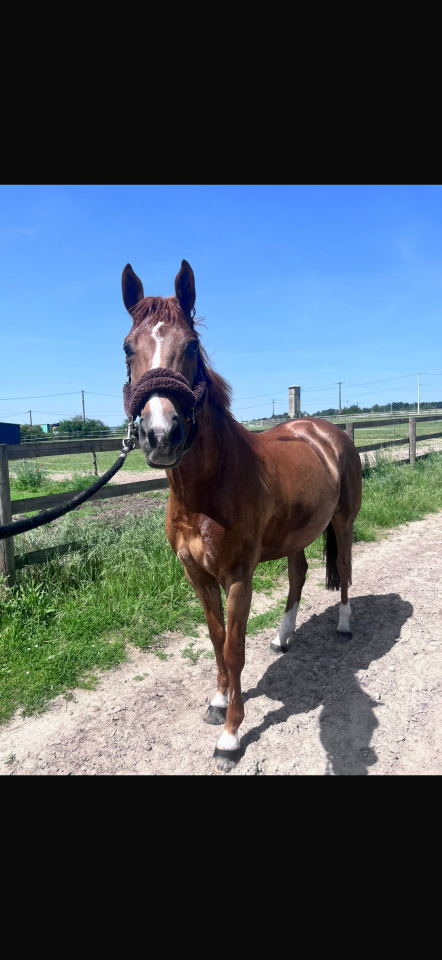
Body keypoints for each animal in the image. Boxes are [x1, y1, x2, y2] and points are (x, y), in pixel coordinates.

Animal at [121, 259, 362, 773]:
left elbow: (233, 649)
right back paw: (283, 637)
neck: (205, 491)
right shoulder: (197, 575)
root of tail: (327, 432)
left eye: (191, 346)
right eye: (128, 348)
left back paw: (345, 626)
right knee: (298, 573)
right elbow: (215, 639)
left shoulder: (237, 577)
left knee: (345, 570)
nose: (160, 435)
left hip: (344, 522)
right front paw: (216, 702)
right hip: (297, 533)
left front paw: (231, 735)